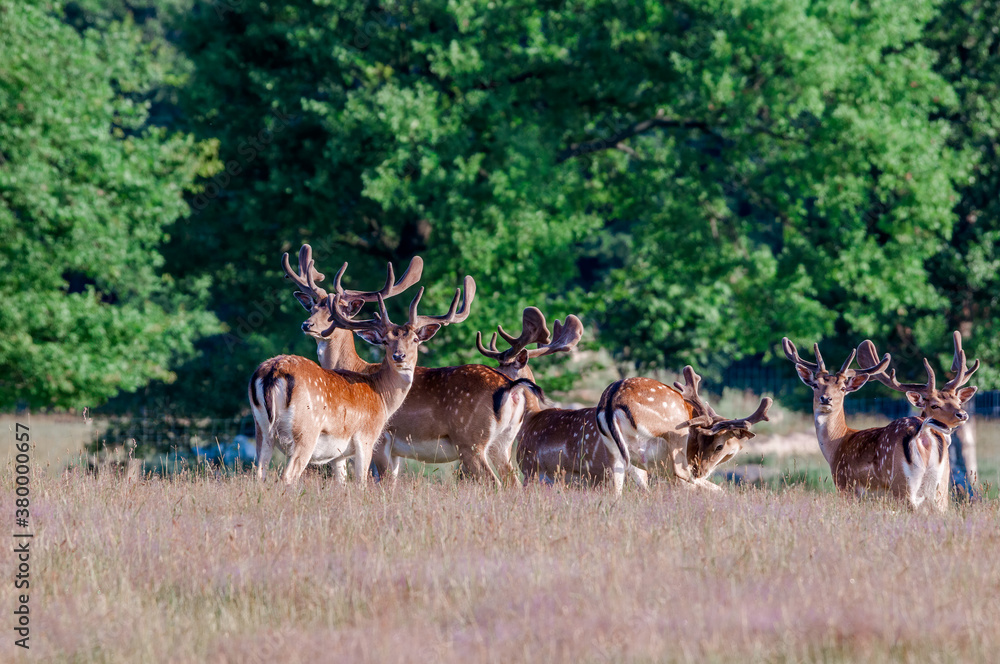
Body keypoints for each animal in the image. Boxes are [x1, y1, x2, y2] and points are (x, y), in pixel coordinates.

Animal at [248, 278, 470, 486]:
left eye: (415, 340)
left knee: (259, 475)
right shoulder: (367, 437)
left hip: (262, 430)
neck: (381, 394)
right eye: (385, 341)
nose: (400, 356)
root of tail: (273, 371)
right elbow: (362, 483)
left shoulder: (339, 454)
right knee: (287, 476)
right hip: (305, 431)